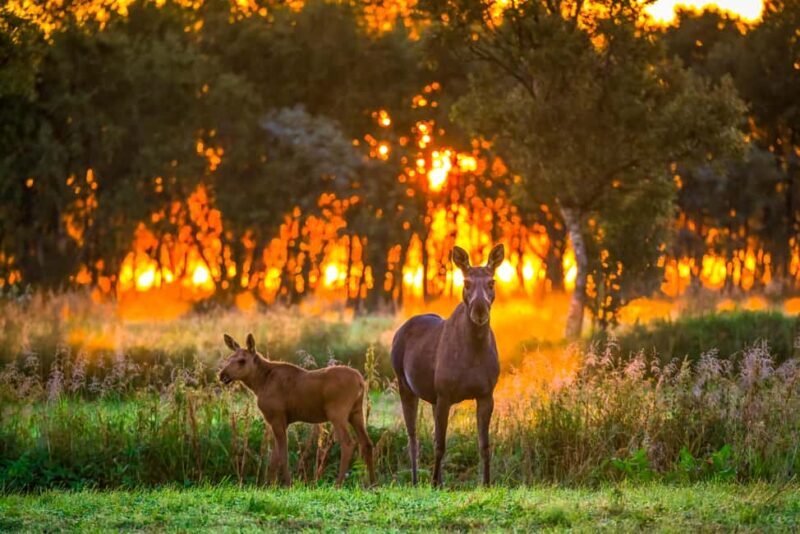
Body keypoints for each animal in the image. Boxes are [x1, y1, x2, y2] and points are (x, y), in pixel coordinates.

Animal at [219, 333, 376, 487]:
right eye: (228, 359)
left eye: (242, 361)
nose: (222, 375)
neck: (259, 384)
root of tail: (360, 381)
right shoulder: (279, 421)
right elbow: (274, 457)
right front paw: (270, 486)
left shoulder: (277, 417)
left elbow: (283, 455)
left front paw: (288, 484)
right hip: (356, 412)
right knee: (367, 443)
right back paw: (373, 484)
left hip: (337, 413)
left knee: (348, 443)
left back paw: (338, 484)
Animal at [391, 244, 504, 487]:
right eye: (466, 282)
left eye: (491, 282)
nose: (479, 310)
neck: (474, 352)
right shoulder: (444, 393)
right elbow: (440, 444)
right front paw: (433, 482)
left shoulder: (486, 394)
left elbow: (484, 445)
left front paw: (486, 483)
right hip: (404, 384)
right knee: (412, 437)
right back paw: (416, 481)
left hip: (433, 397)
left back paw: (440, 482)